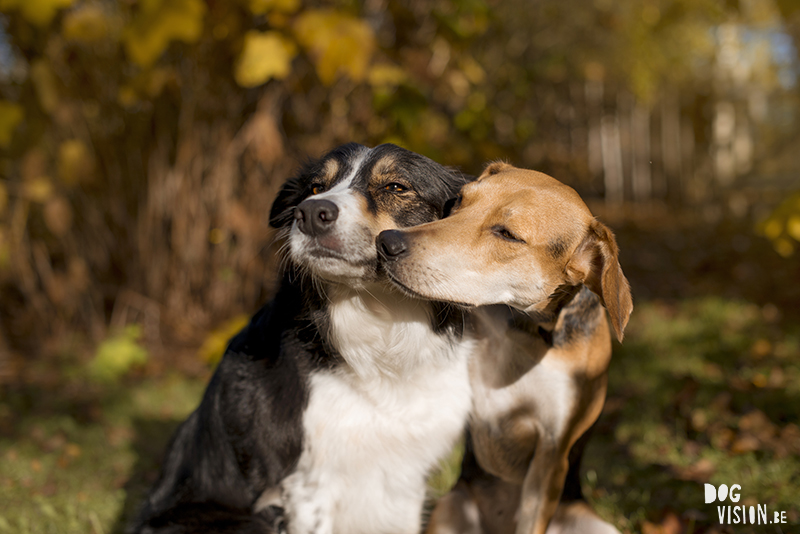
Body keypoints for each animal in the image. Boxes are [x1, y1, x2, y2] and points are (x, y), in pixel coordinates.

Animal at [376, 162, 632, 534]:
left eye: (508, 234)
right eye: (459, 201)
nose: (387, 242)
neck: (523, 330)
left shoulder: (552, 453)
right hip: (449, 508)